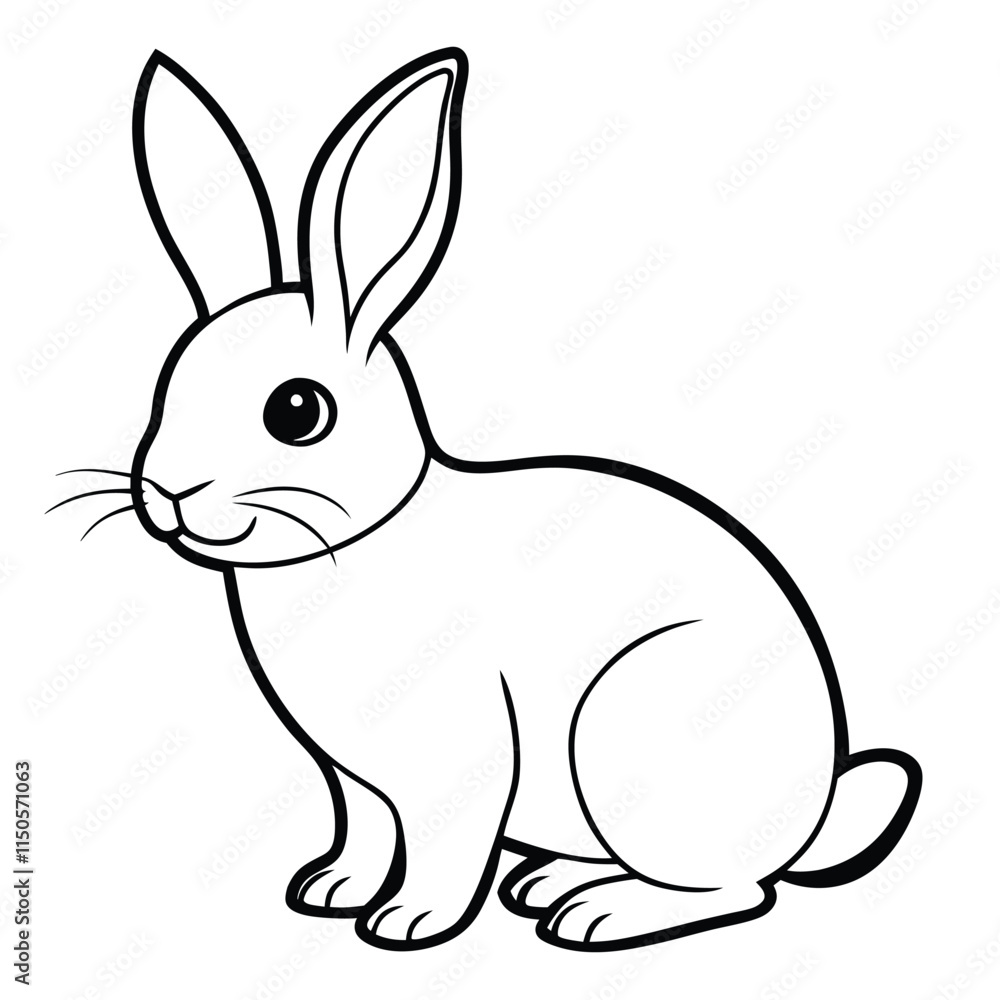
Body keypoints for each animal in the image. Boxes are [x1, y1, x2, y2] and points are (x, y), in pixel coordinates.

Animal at [60, 47, 921, 952]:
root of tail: (813, 814)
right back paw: (550, 883)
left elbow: (448, 842)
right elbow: (364, 830)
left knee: (736, 891)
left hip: (632, 740)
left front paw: (408, 921)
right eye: (169, 381)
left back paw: (598, 913)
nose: (169, 494)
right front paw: (329, 890)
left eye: (295, 411)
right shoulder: (354, 780)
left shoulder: (464, 755)